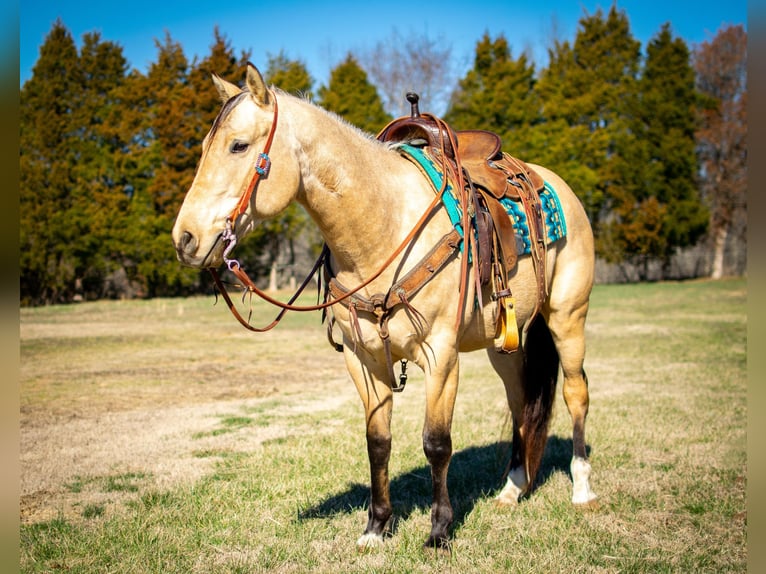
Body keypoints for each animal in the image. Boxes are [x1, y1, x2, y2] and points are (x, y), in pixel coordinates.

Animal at [172, 64, 600, 552]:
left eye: (239, 145)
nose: (184, 238)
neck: (383, 225)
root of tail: (556, 184)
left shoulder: (441, 355)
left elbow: (437, 442)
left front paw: (439, 531)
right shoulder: (363, 359)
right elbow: (377, 441)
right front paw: (376, 527)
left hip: (568, 317)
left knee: (575, 392)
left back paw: (582, 488)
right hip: (502, 344)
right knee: (521, 399)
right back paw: (512, 488)